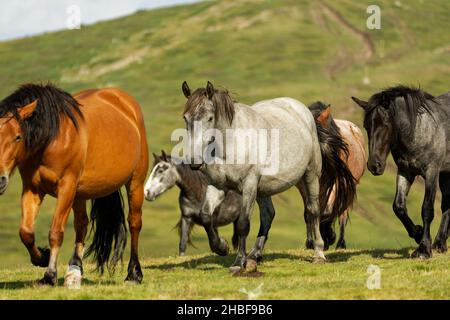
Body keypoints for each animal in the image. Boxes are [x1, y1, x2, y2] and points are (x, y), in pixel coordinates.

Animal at [0, 84, 149, 286]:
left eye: (17, 137)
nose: (0, 179)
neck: (52, 138)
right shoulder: (32, 189)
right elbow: (26, 232)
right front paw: (42, 258)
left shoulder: (66, 187)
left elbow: (56, 232)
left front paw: (50, 275)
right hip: (80, 193)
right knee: (81, 224)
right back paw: (74, 270)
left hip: (135, 182)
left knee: (134, 223)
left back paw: (134, 274)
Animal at [180, 81, 356, 272]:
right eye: (186, 118)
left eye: (210, 118)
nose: (194, 161)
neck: (232, 144)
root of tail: (304, 112)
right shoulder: (218, 186)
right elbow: (205, 216)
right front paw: (221, 247)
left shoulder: (249, 184)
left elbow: (243, 223)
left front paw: (238, 262)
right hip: (263, 189)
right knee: (268, 215)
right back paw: (254, 255)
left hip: (310, 175)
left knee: (313, 210)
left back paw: (318, 253)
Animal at [352, 85, 450, 258]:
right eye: (366, 126)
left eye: (385, 124)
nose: (374, 165)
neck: (419, 131)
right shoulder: (405, 172)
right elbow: (398, 207)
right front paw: (417, 233)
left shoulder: (431, 172)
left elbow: (427, 209)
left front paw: (424, 249)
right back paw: (440, 243)